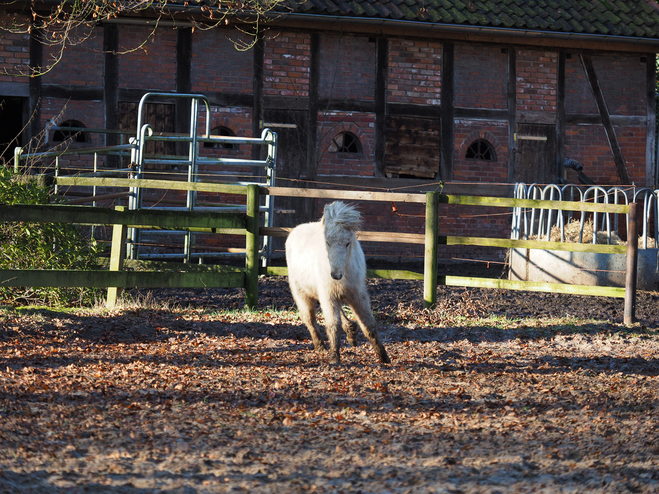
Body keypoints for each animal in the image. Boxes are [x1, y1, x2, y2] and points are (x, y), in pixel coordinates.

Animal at [284, 199, 390, 364]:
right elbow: (333, 325)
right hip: (302, 294)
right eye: (327, 242)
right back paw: (320, 346)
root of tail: (295, 230)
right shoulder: (328, 296)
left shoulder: (357, 295)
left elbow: (369, 325)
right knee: (309, 319)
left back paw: (351, 333)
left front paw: (384, 357)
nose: (335, 275)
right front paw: (334, 358)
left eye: (347, 243)